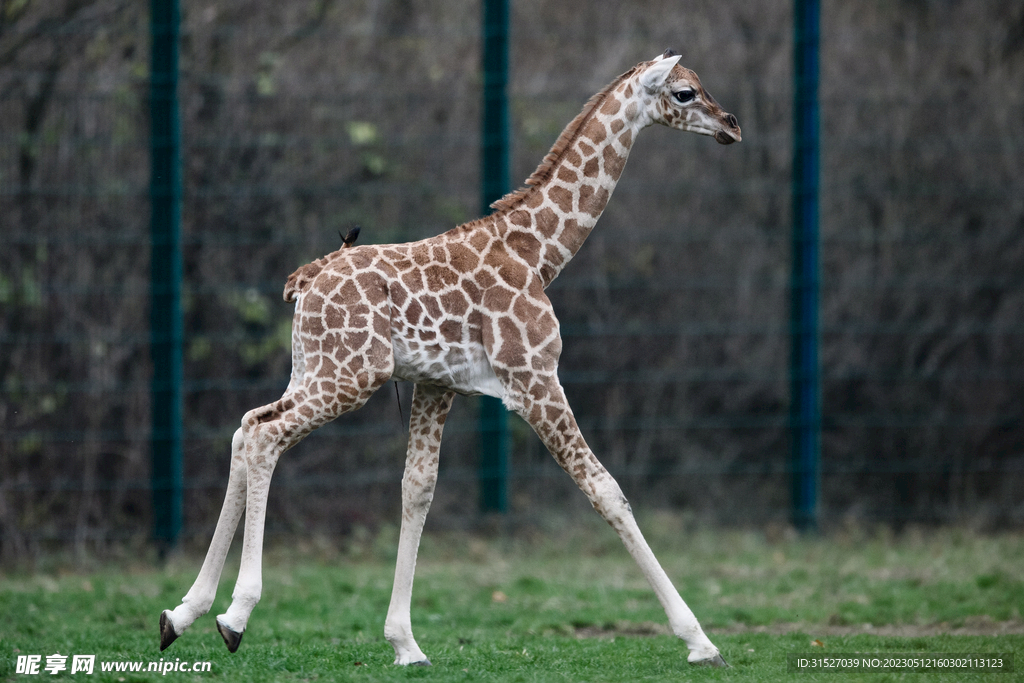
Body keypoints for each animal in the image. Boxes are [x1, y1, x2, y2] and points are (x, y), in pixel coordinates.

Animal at [155, 52, 741, 667]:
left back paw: (182, 613)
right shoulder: (534, 377)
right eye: (684, 93)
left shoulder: (437, 385)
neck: (537, 253)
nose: (731, 125)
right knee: (266, 437)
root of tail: (306, 280)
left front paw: (405, 643)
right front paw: (700, 640)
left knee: (247, 427)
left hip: (315, 368)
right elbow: (606, 490)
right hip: (352, 374)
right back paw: (235, 615)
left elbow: (417, 489)